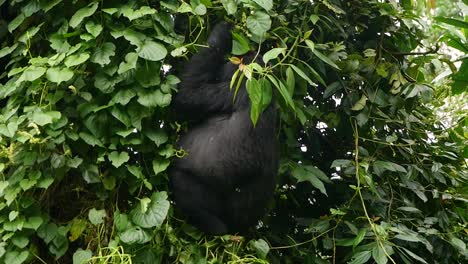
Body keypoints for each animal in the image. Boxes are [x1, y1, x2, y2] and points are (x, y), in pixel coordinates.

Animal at [168, 21, 278, 234]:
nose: (230, 61)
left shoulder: (232, 90)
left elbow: (186, 97)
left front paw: (221, 34)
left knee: (182, 185)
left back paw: (215, 229)